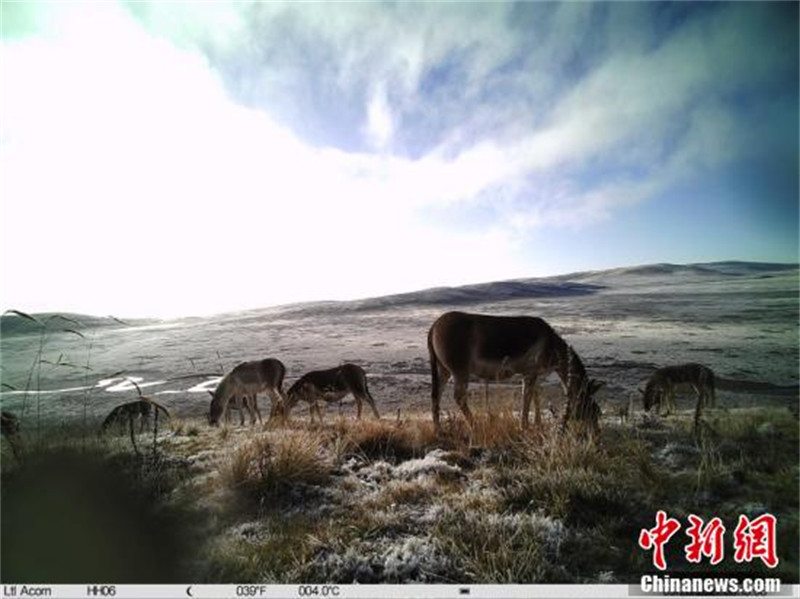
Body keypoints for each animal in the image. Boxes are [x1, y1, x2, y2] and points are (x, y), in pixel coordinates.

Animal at [428, 312, 604, 434]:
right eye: (592, 409)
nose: (596, 433)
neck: (552, 345)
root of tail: (435, 324)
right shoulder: (530, 373)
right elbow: (527, 398)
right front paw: (524, 427)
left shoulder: (534, 375)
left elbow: (536, 396)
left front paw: (537, 424)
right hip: (460, 372)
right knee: (459, 397)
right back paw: (474, 425)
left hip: (444, 371)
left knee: (436, 395)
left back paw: (438, 429)